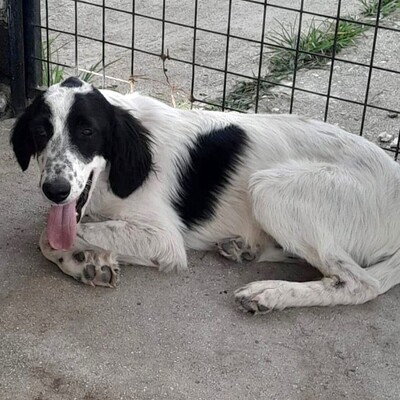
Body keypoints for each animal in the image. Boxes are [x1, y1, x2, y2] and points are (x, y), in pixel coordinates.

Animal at [8, 76, 400, 312]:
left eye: (87, 132)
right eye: (41, 131)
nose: (54, 190)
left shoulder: (165, 238)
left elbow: (47, 237)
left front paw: (81, 258)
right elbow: (58, 234)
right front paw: (84, 261)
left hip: (268, 187)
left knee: (359, 281)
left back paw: (270, 293)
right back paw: (243, 248)